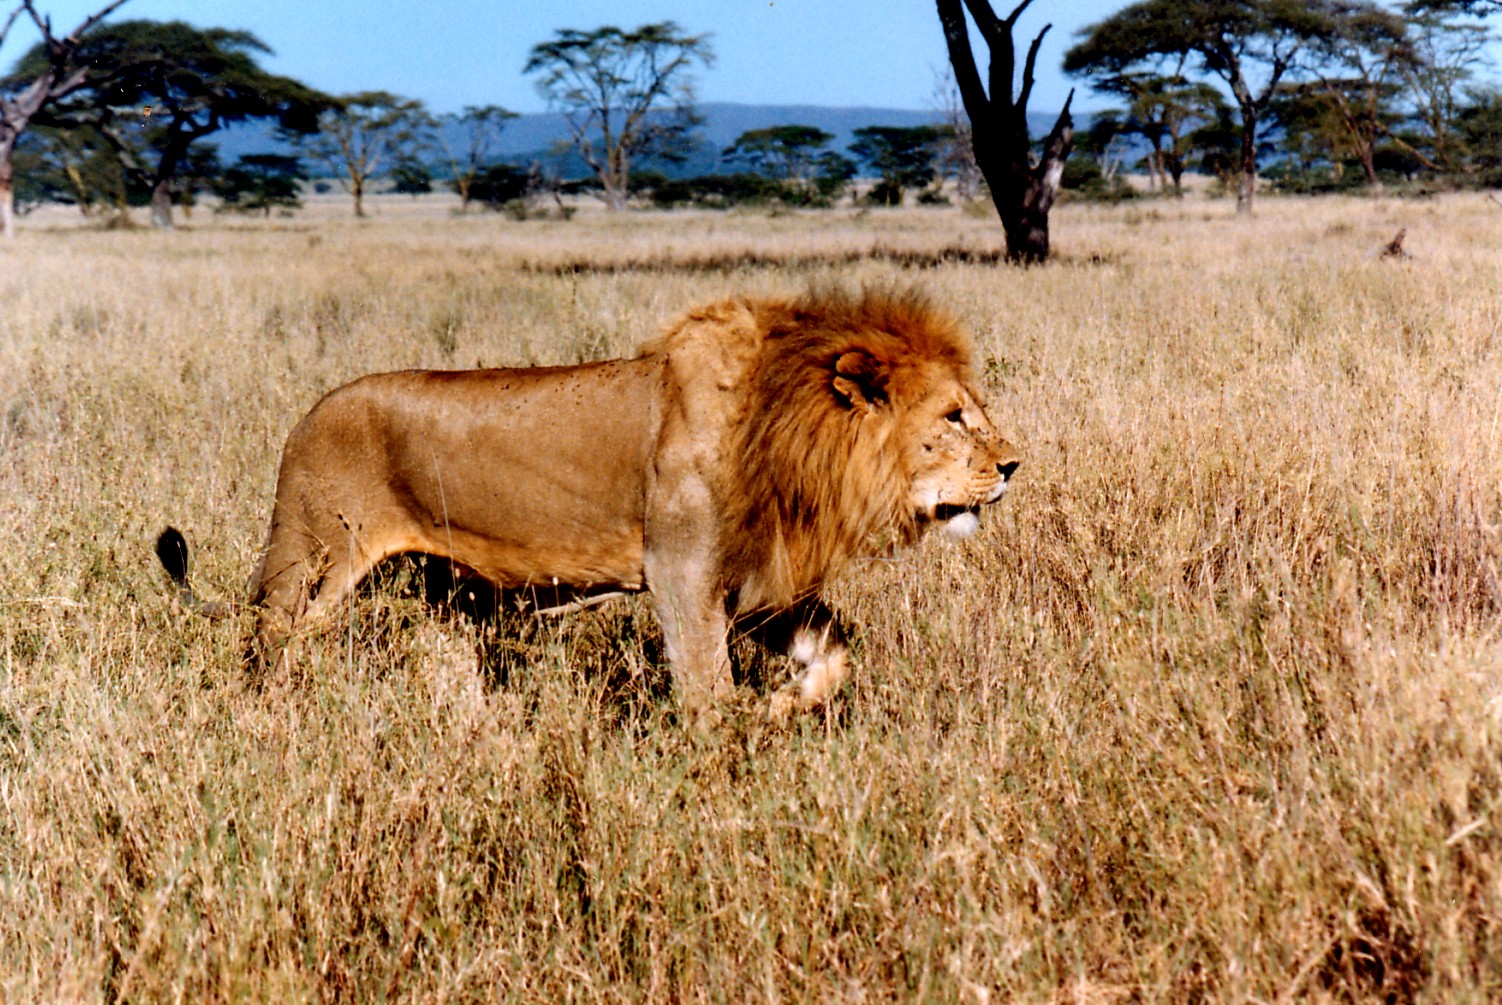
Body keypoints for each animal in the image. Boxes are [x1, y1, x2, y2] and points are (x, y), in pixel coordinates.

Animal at [158, 288, 1020, 716]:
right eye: (953, 417)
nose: (1013, 464)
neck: (788, 438)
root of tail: (305, 418)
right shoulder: (681, 573)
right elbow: (706, 686)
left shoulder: (759, 583)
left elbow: (833, 652)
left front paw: (783, 704)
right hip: (308, 564)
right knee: (263, 647)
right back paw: (259, 722)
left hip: (440, 593)